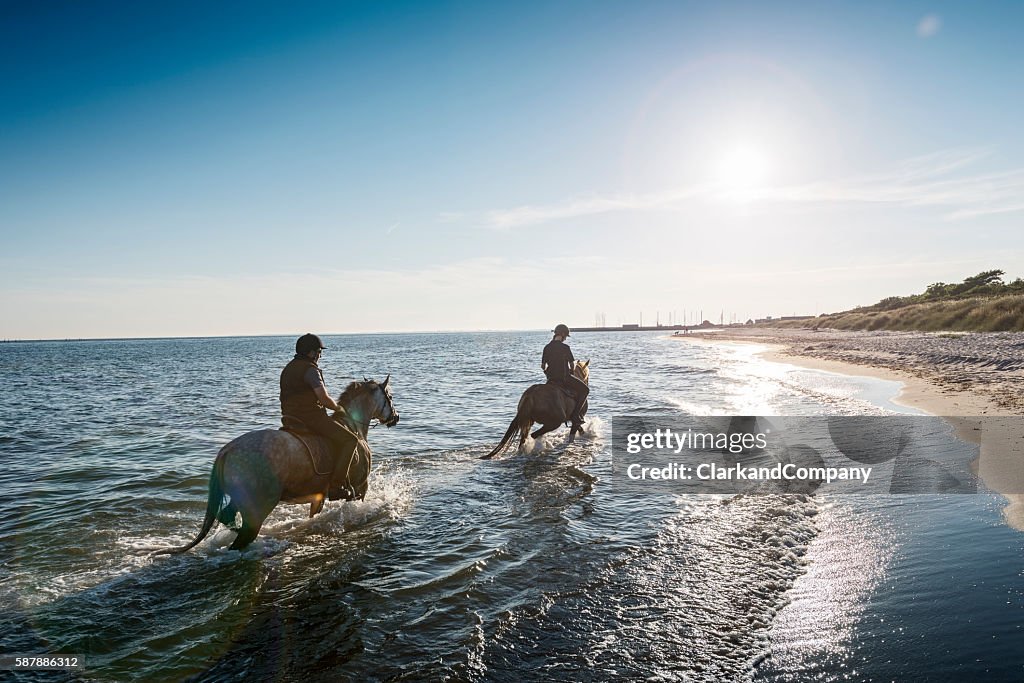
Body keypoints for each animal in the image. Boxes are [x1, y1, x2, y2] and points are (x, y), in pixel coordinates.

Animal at [155, 377, 399, 553]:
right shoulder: (360, 488)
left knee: (227, 516)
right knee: (242, 539)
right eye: (389, 396)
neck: (353, 426)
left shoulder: (318, 496)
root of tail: (228, 450)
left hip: (239, 497)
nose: (395, 417)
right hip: (259, 505)